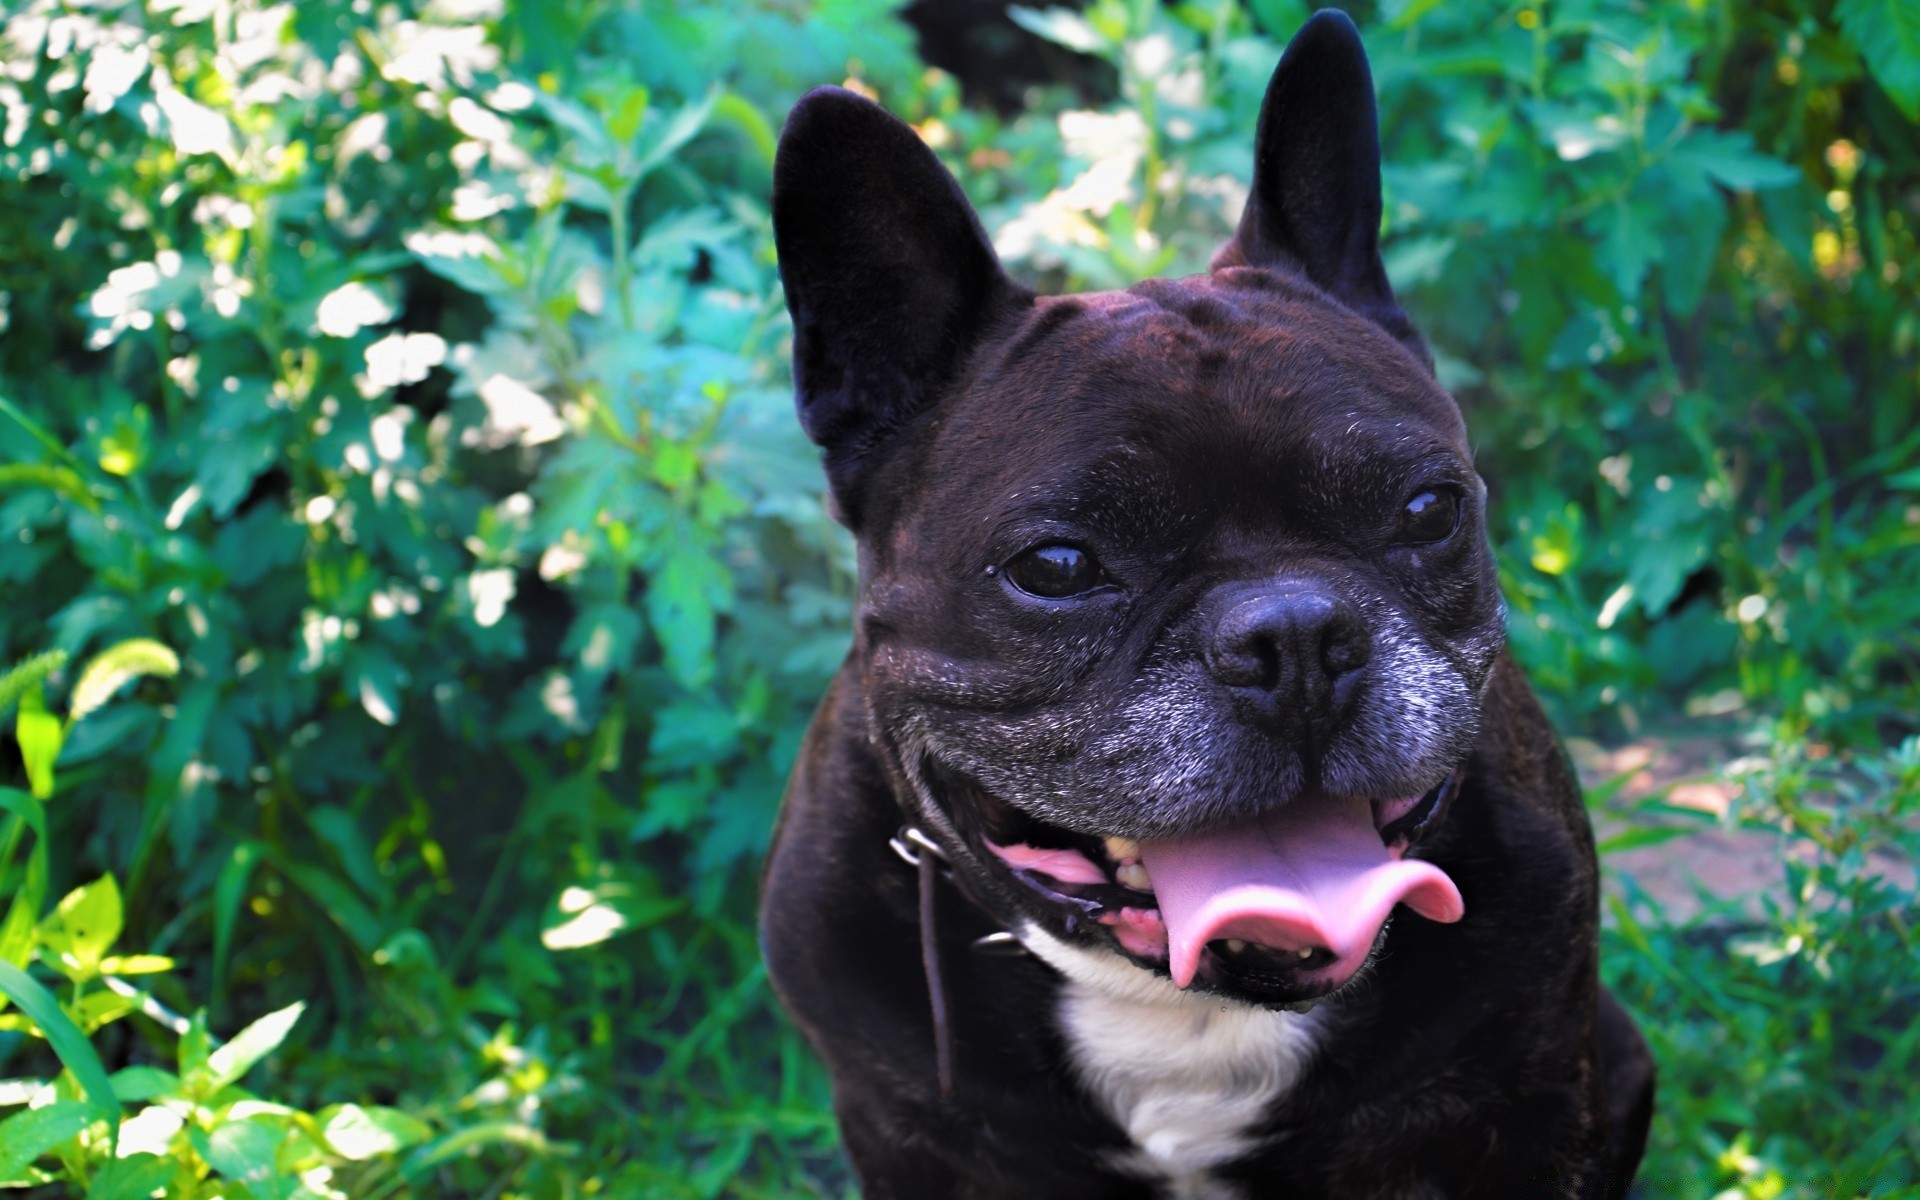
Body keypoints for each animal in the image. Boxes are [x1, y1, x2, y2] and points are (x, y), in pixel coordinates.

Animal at [756, 11, 1658, 1198]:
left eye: (1428, 509)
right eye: (1056, 566)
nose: (1296, 636)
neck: (1179, 1013)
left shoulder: (1526, 1100)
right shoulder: (910, 1130)